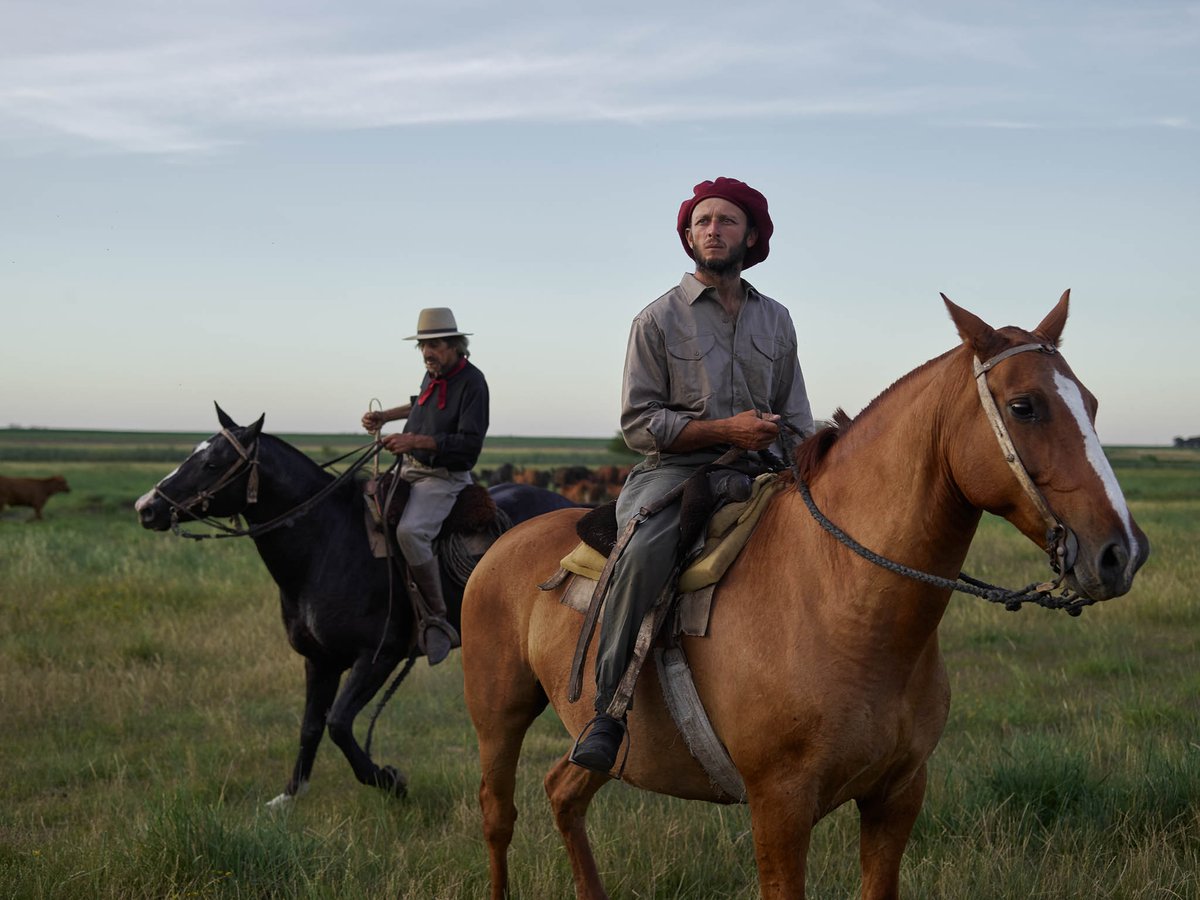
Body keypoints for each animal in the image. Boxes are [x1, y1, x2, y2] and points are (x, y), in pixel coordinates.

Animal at [136, 405, 576, 806]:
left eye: (212, 462)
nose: (146, 507)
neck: (326, 543)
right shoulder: (320, 660)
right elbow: (311, 725)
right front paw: (290, 796)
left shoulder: (378, 656)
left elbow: (338, 723)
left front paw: (389, 780)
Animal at [460, 296, 1152, 900]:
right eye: (1024, 405)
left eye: (1091, 404)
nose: (1121, 552)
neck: (846, 606)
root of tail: (506, 539)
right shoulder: (780, 808)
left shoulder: (898, 796)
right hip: (498, 715)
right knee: (497, 813)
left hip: (602, 747)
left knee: (562, 792)